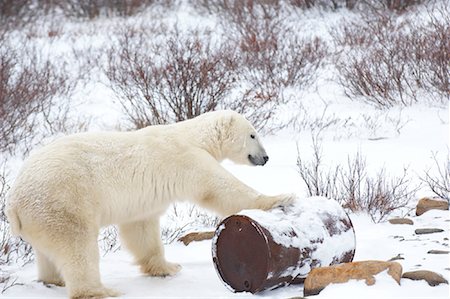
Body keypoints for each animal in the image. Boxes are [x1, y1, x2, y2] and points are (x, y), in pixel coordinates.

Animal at [6, 110, 296, 299]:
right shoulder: (187, 160)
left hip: (43, 214)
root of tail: (14, 202)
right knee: (77, 246)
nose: (265, 158)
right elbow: (221, 189)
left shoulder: (143, 201)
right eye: (253, 135)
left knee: (49, 251)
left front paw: (167, 268)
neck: (191, 136)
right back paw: (100, 290)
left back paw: (52, 279)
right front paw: (281, 199)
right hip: (64, 200)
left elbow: (141, 229)